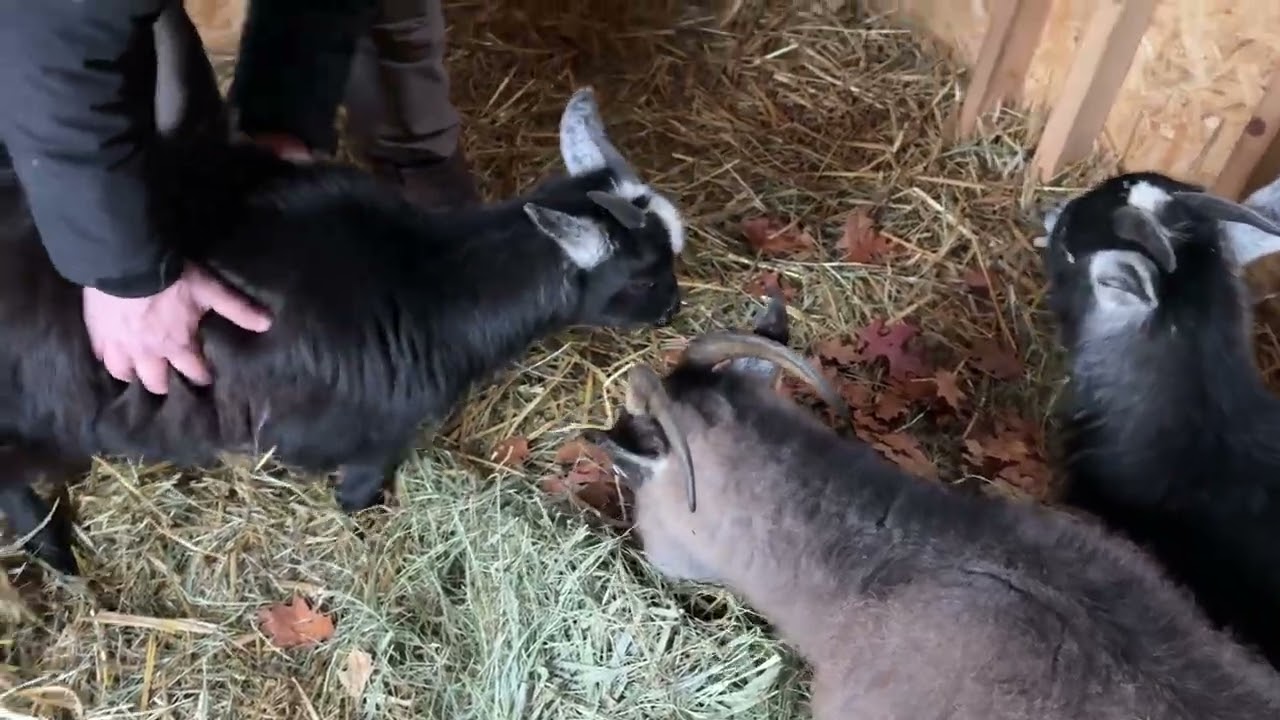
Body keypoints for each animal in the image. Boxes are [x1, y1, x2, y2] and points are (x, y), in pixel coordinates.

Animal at [0, 87, 688, 575]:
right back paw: (52, 548)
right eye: (644, 276)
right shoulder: (375, 432)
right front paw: (362, 515)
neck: (430, 283)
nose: (674, 310)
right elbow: (358, 489)